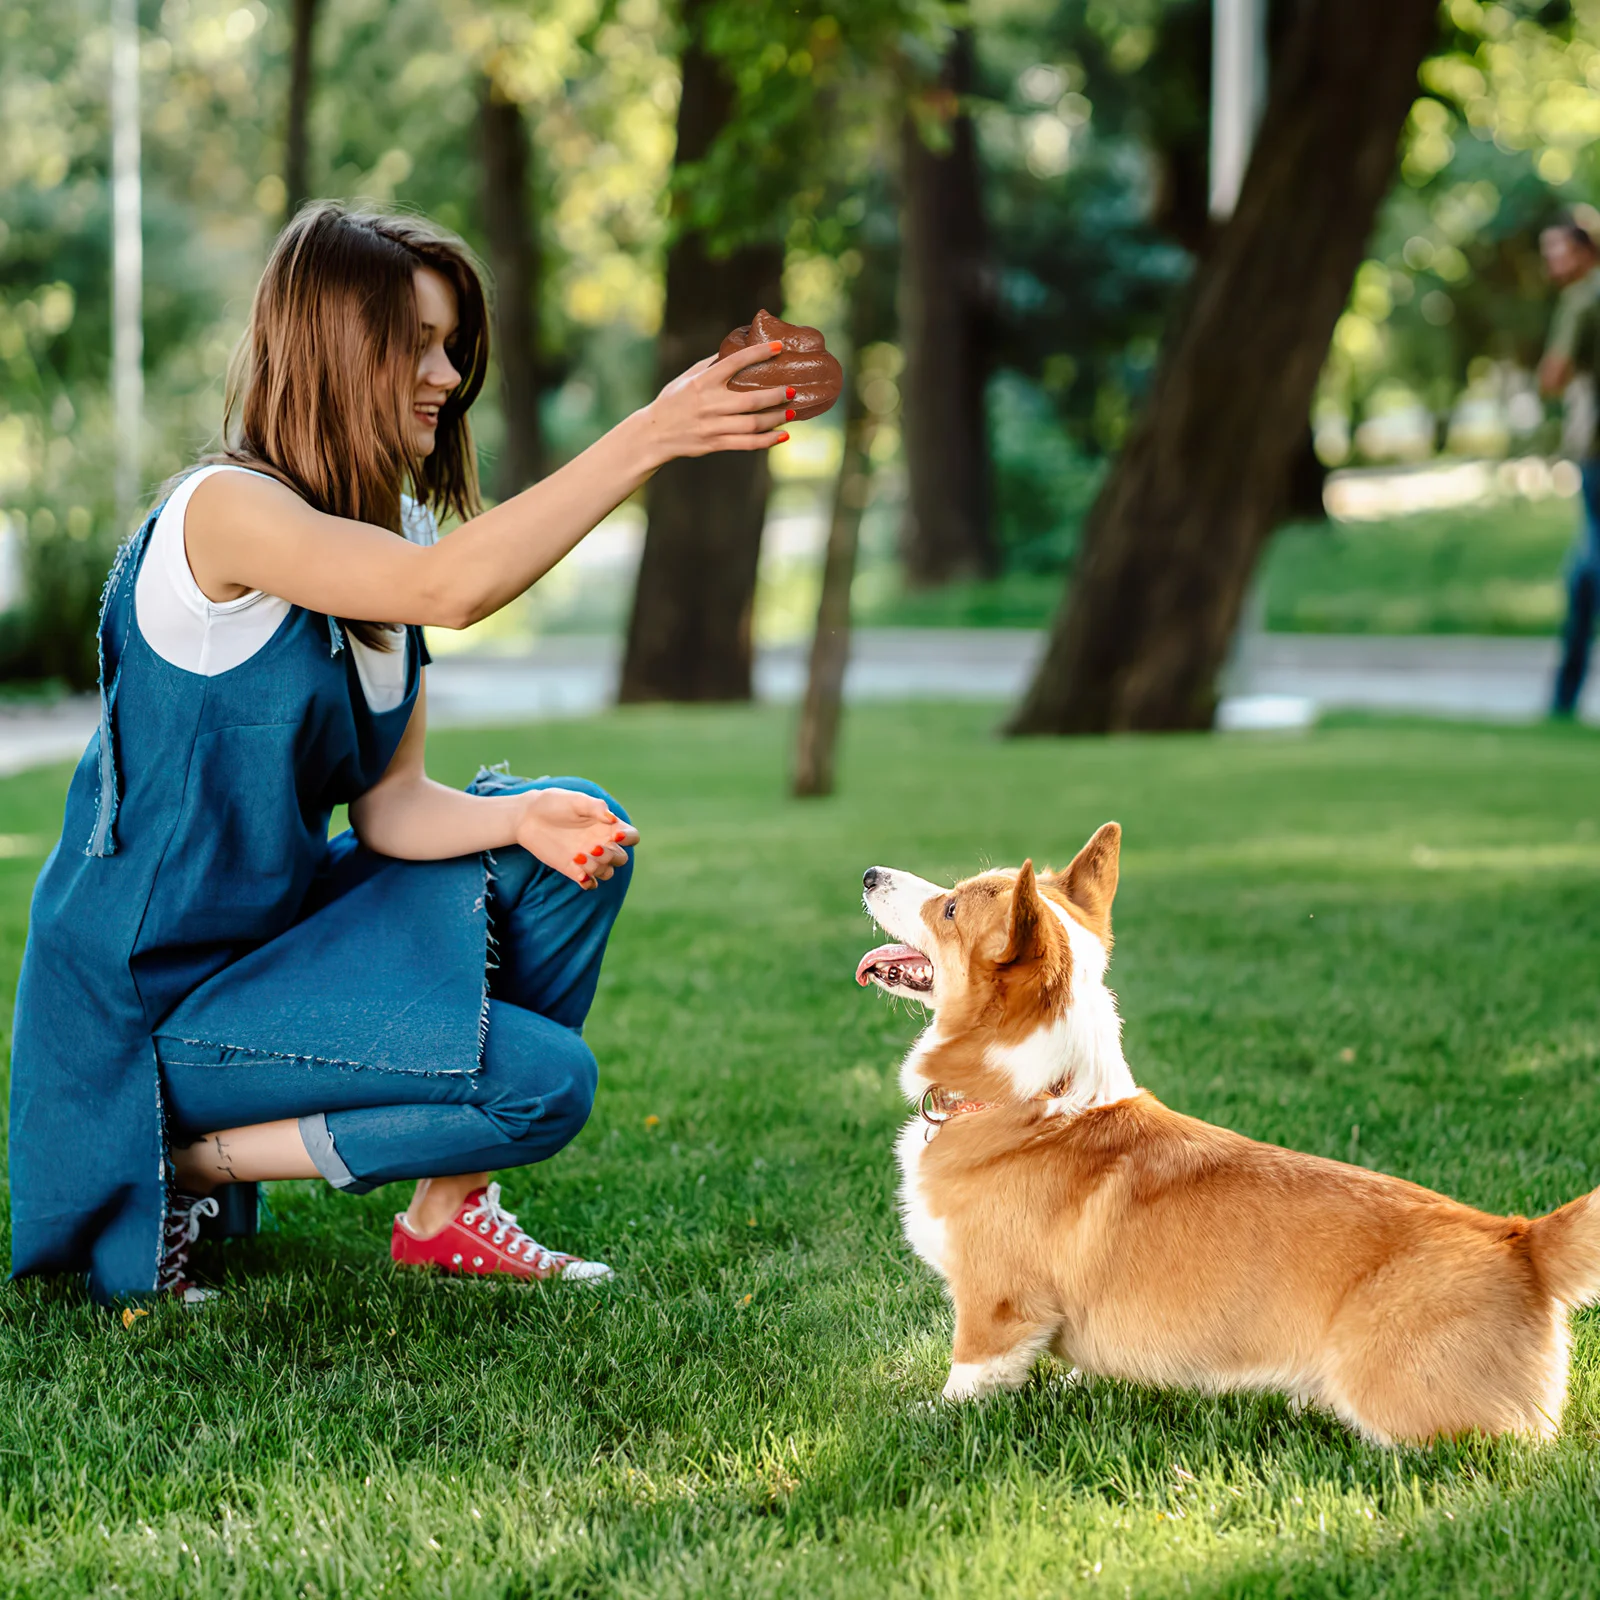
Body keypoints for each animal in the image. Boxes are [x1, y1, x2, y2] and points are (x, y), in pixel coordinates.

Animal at [857, 832, 1600, 1446]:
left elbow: (968, 1380)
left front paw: (924, 1416)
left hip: (1395, 1400)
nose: (867, 872)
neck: (1032, 1100)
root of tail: (1523, 1241)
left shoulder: (996, 1307)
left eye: (951, 909)